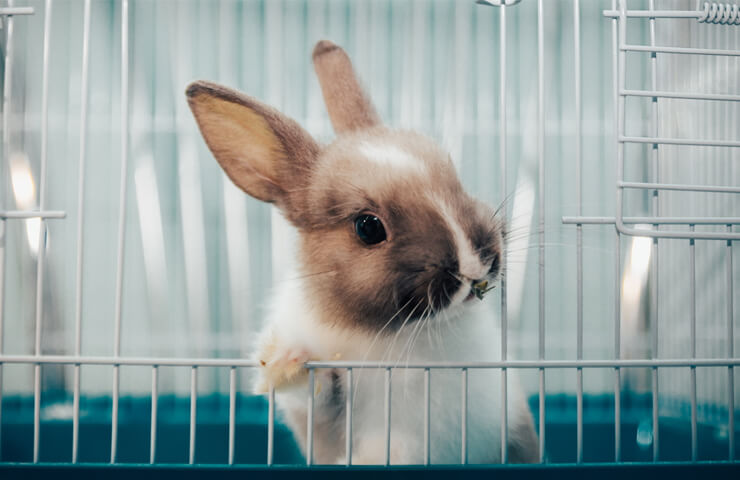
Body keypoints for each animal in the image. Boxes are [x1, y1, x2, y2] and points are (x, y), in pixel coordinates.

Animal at [185, 40, 539, 465]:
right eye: (368, 227)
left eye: (455, 180)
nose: (474, 264)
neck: (403, 332)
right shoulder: (326, 413)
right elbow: (317, 394)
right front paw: (287, 361)